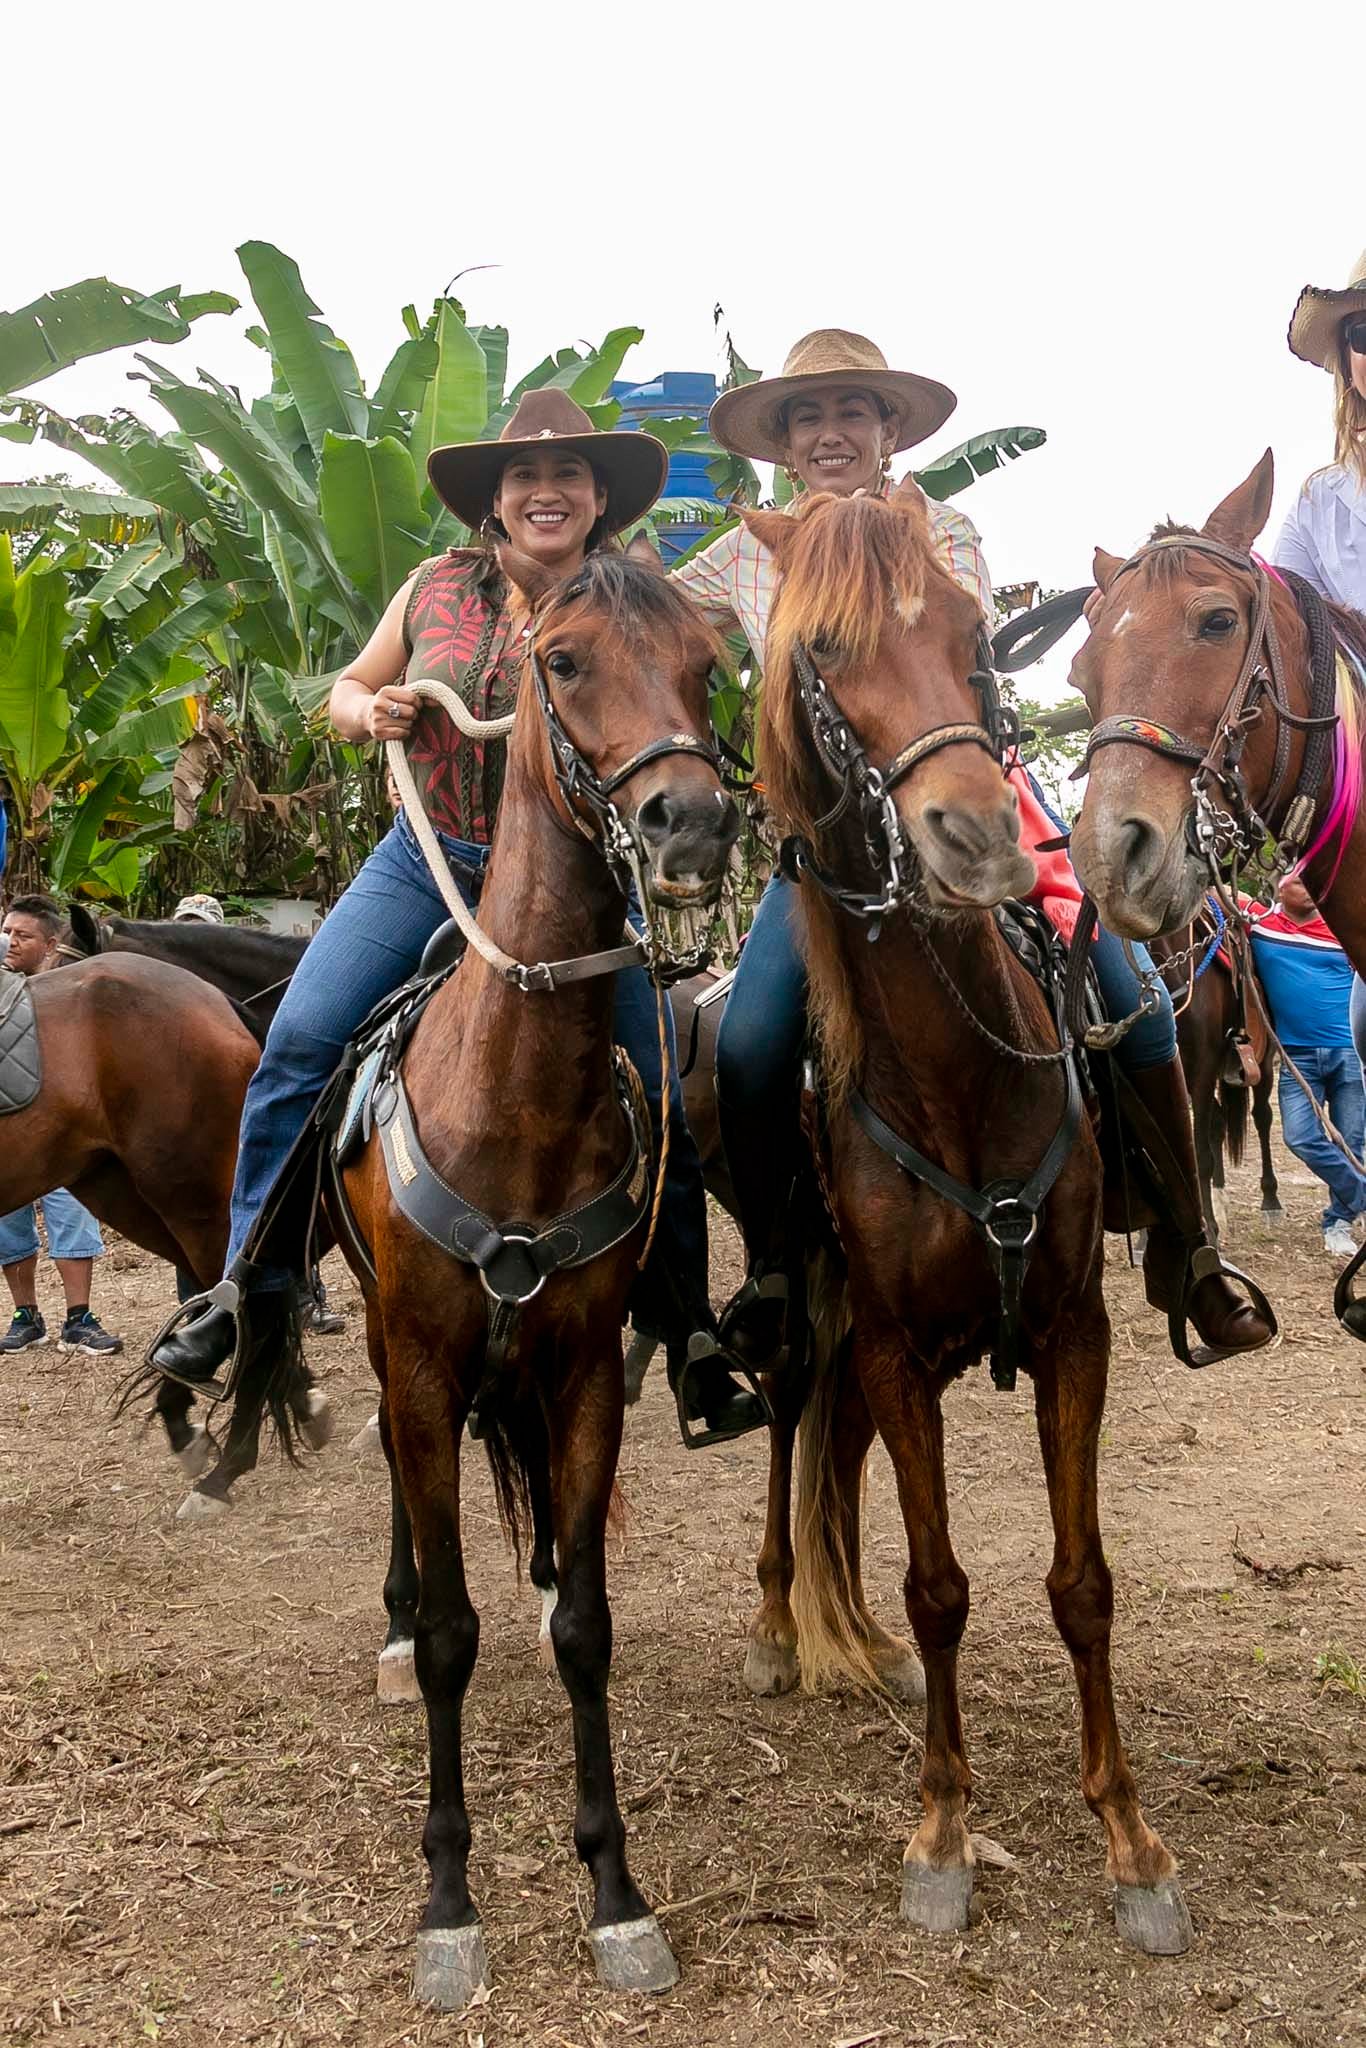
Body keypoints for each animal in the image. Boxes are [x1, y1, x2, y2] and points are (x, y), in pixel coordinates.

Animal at [324, 548, 739, 2007]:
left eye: (707, 664)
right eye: (560, 660)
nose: (690, 822)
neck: (510, 1099)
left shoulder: (581, 1374)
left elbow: (588, 1633)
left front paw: (615, 1891)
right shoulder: (423, 1363)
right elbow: (456, 1632)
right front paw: (449, 1906)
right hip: (387, 1355)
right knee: (407, 1504)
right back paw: (393, 1628)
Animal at [737, 483, 1191, 1956]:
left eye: (967, 636)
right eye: (821, 654)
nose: (979, 836)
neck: (953, 1075)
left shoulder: (1071, 1333)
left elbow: (1080, 1583)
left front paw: (1130, 1841)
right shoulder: (889, 1344)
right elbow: (940, 1587)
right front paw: (940, 1830)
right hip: (807, 1308)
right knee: (791, 1423)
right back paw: (784, 1623)